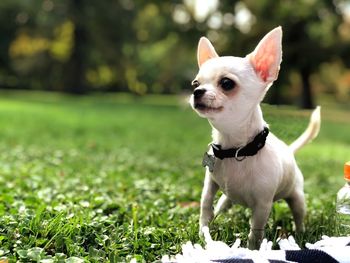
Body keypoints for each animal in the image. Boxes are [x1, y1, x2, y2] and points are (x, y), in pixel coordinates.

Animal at [190, 27, 322, 252]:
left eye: (227, 83)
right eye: (196, 83)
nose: (196, 92)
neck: (235, 149)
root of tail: (288, 150)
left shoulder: (262, 206)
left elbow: (255, 232)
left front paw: (252, 251)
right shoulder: (210, 186)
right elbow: (205, 208)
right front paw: (203, 235)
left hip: (297, 197)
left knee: (298, 216)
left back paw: (300, 235)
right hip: (227, 196)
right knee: (222, 205)